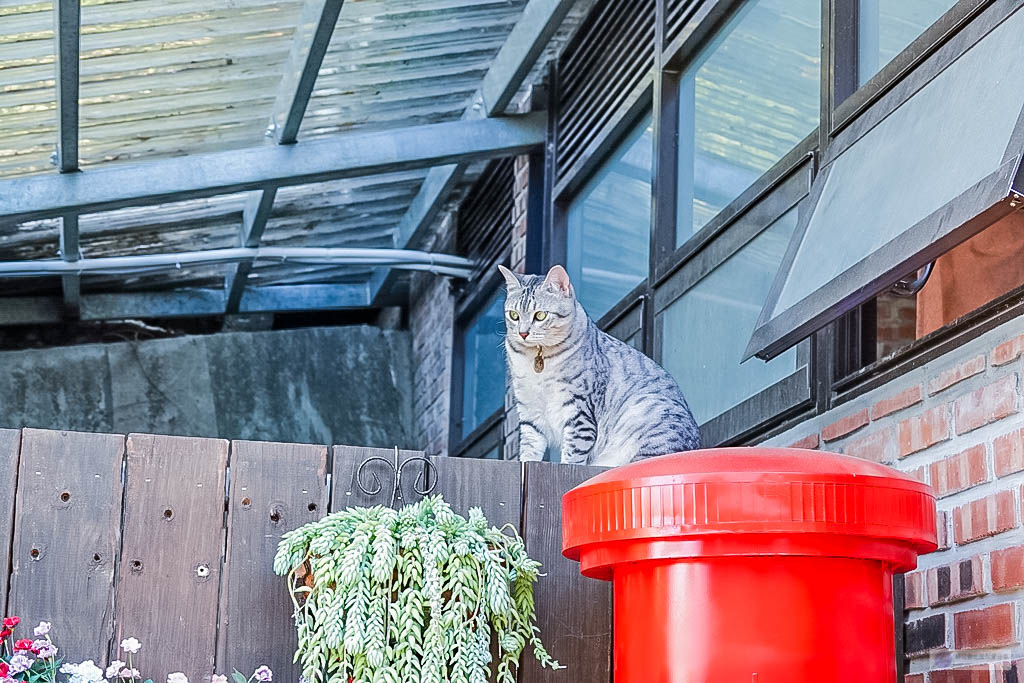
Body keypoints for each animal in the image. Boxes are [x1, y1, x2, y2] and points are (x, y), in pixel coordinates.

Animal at [497, 264, 704, 466]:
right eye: (514, 315)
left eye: (540, 315)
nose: (523, 333)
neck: (537, 360)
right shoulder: (529, 411)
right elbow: (529, 449)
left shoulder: (579, 411)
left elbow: (573, 455)